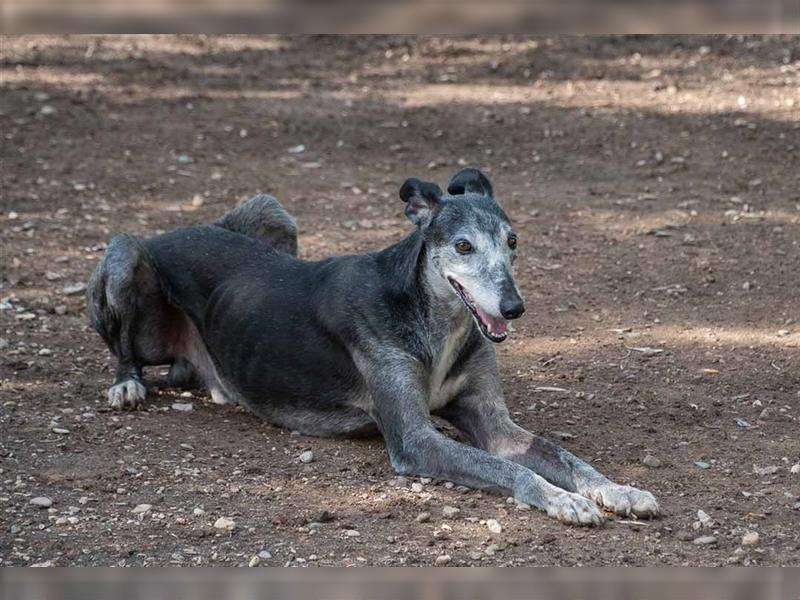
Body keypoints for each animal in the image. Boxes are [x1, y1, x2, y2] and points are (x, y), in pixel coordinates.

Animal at [87, 169, 660, 524]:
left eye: (513, 241)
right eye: (463, 246)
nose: (513, 307)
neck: (432, 317)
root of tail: (174, 228)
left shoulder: (494, 425)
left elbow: (565, 457)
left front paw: (619, 490)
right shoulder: (415, 440)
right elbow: (514, 470)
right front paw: (565, 502)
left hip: (275, 214)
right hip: (127, 257)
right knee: (124, 345)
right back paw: (127, 385)